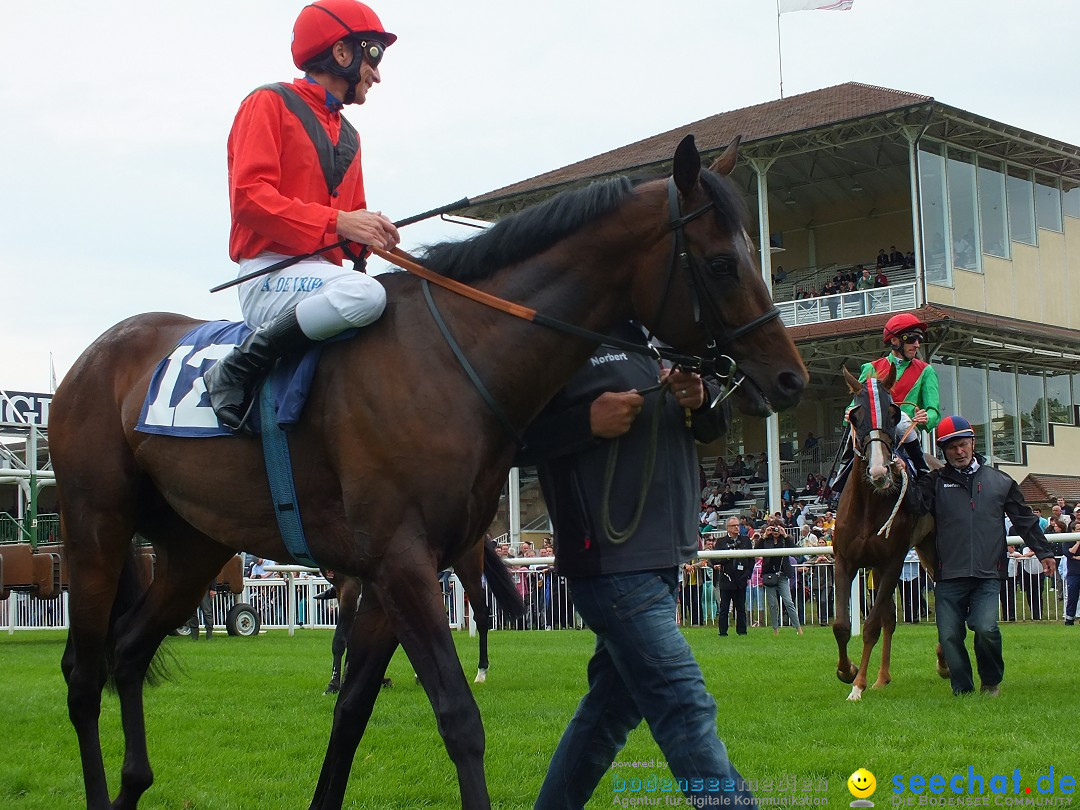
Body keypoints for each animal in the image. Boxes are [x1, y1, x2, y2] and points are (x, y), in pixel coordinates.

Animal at [52, 135, 812, 810]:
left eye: (757, 255)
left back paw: (133, 785)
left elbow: (353, 709)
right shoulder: (401, 562)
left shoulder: (401, 569)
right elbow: (458, 716)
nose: (790, 378)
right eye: (721, 263)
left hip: (194, 546)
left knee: (129, 650)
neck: (451, 360)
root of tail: (94, 355)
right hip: (96, 529)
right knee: (84, 673)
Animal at [829, 369, 950, 704]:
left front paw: (858, 684)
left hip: (930, 550)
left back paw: (944, 662)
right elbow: (842, 625)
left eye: (894, 413)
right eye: (855, 416)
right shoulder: (846, 560)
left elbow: (870, 626)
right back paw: (882, 678)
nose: (879, 471)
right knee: (891, 618)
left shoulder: (895, 561)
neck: (870, 505)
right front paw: (848, 671)